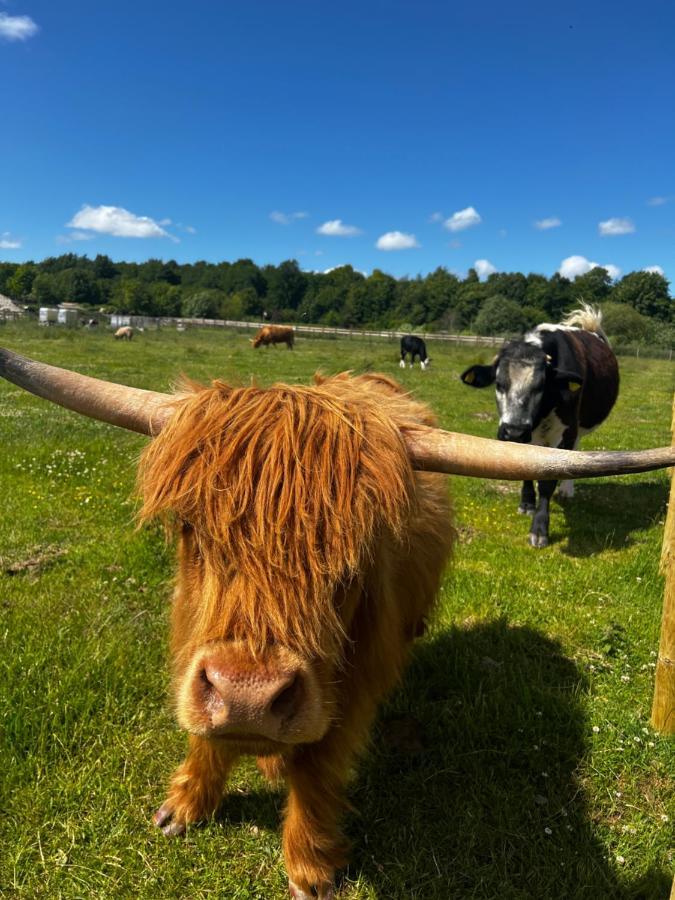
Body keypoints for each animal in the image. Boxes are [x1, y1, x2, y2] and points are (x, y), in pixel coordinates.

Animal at [1, 346, 675, 900]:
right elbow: (205, 734)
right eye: (189, 526)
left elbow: (318, 765)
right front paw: (185, 804)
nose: (248, 697)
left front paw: (311, 867)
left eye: (360, 549)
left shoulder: (354, 685)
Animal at [462, 306, 620, 548]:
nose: (514, 431)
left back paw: (566, 489)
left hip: (577, 427)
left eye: (540, 386)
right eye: (499, 384)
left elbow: (548, 482)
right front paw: (527, 503)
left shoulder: (565, 432)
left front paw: (539, 528)